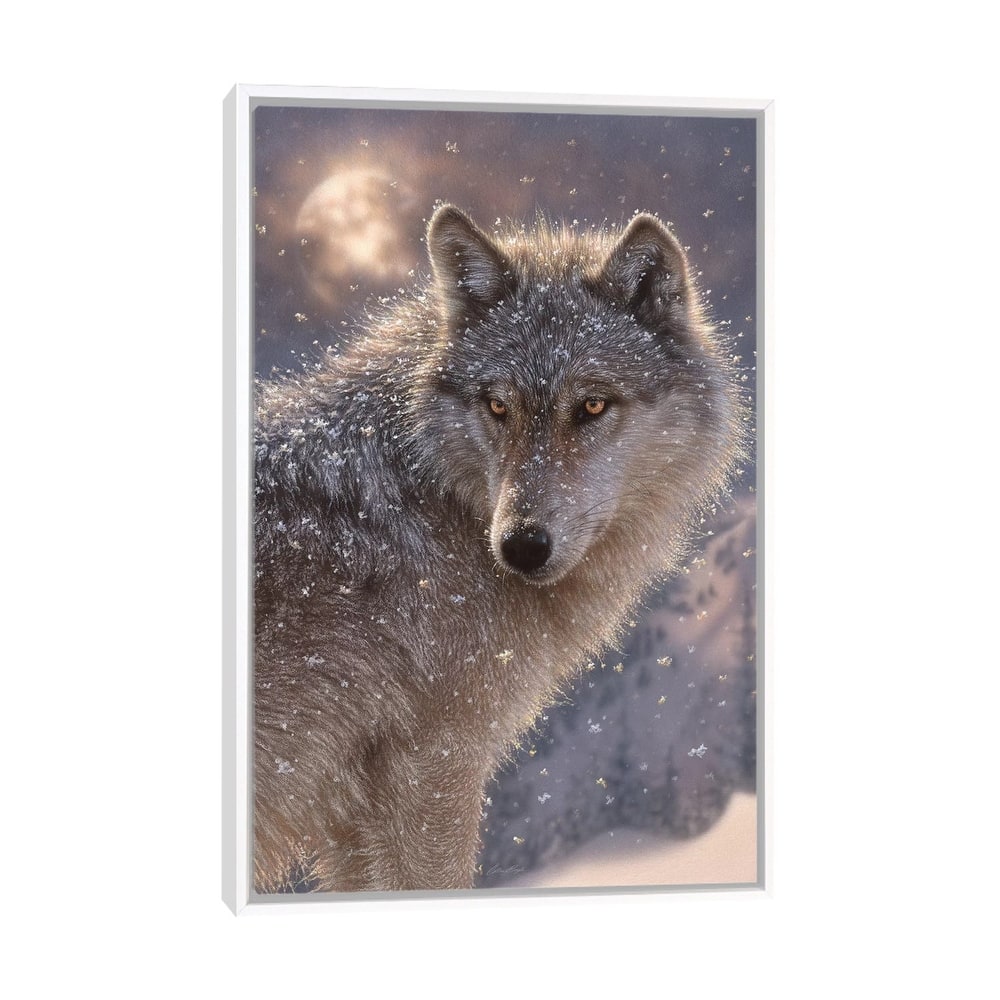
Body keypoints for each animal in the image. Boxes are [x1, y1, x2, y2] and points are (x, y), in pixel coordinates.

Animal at [253, 204, 746, 893]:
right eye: (497, 405)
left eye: (592, 405)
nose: (521, 547)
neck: (436, 494)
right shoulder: (435, 765)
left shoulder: (356, 815)